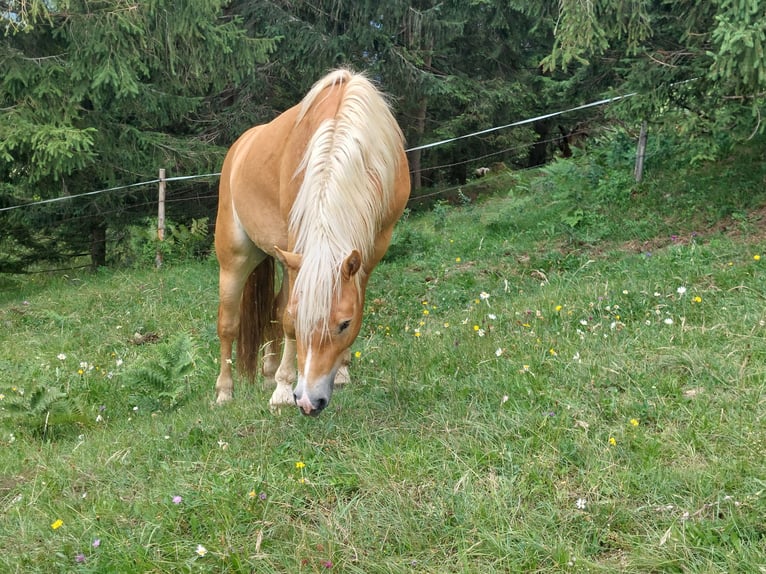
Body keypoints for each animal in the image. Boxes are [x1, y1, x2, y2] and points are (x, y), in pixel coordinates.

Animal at [213, 70, 412, 416]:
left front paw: (342, 371)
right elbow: (287, 317)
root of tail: (240, 146)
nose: (308, 402)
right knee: (229, 323)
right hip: (235, 259)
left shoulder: (372, 248)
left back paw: (268, 373)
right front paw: (282, 390)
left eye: (344, 324)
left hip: (283, 259)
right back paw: (226, 392)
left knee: (271, 309)